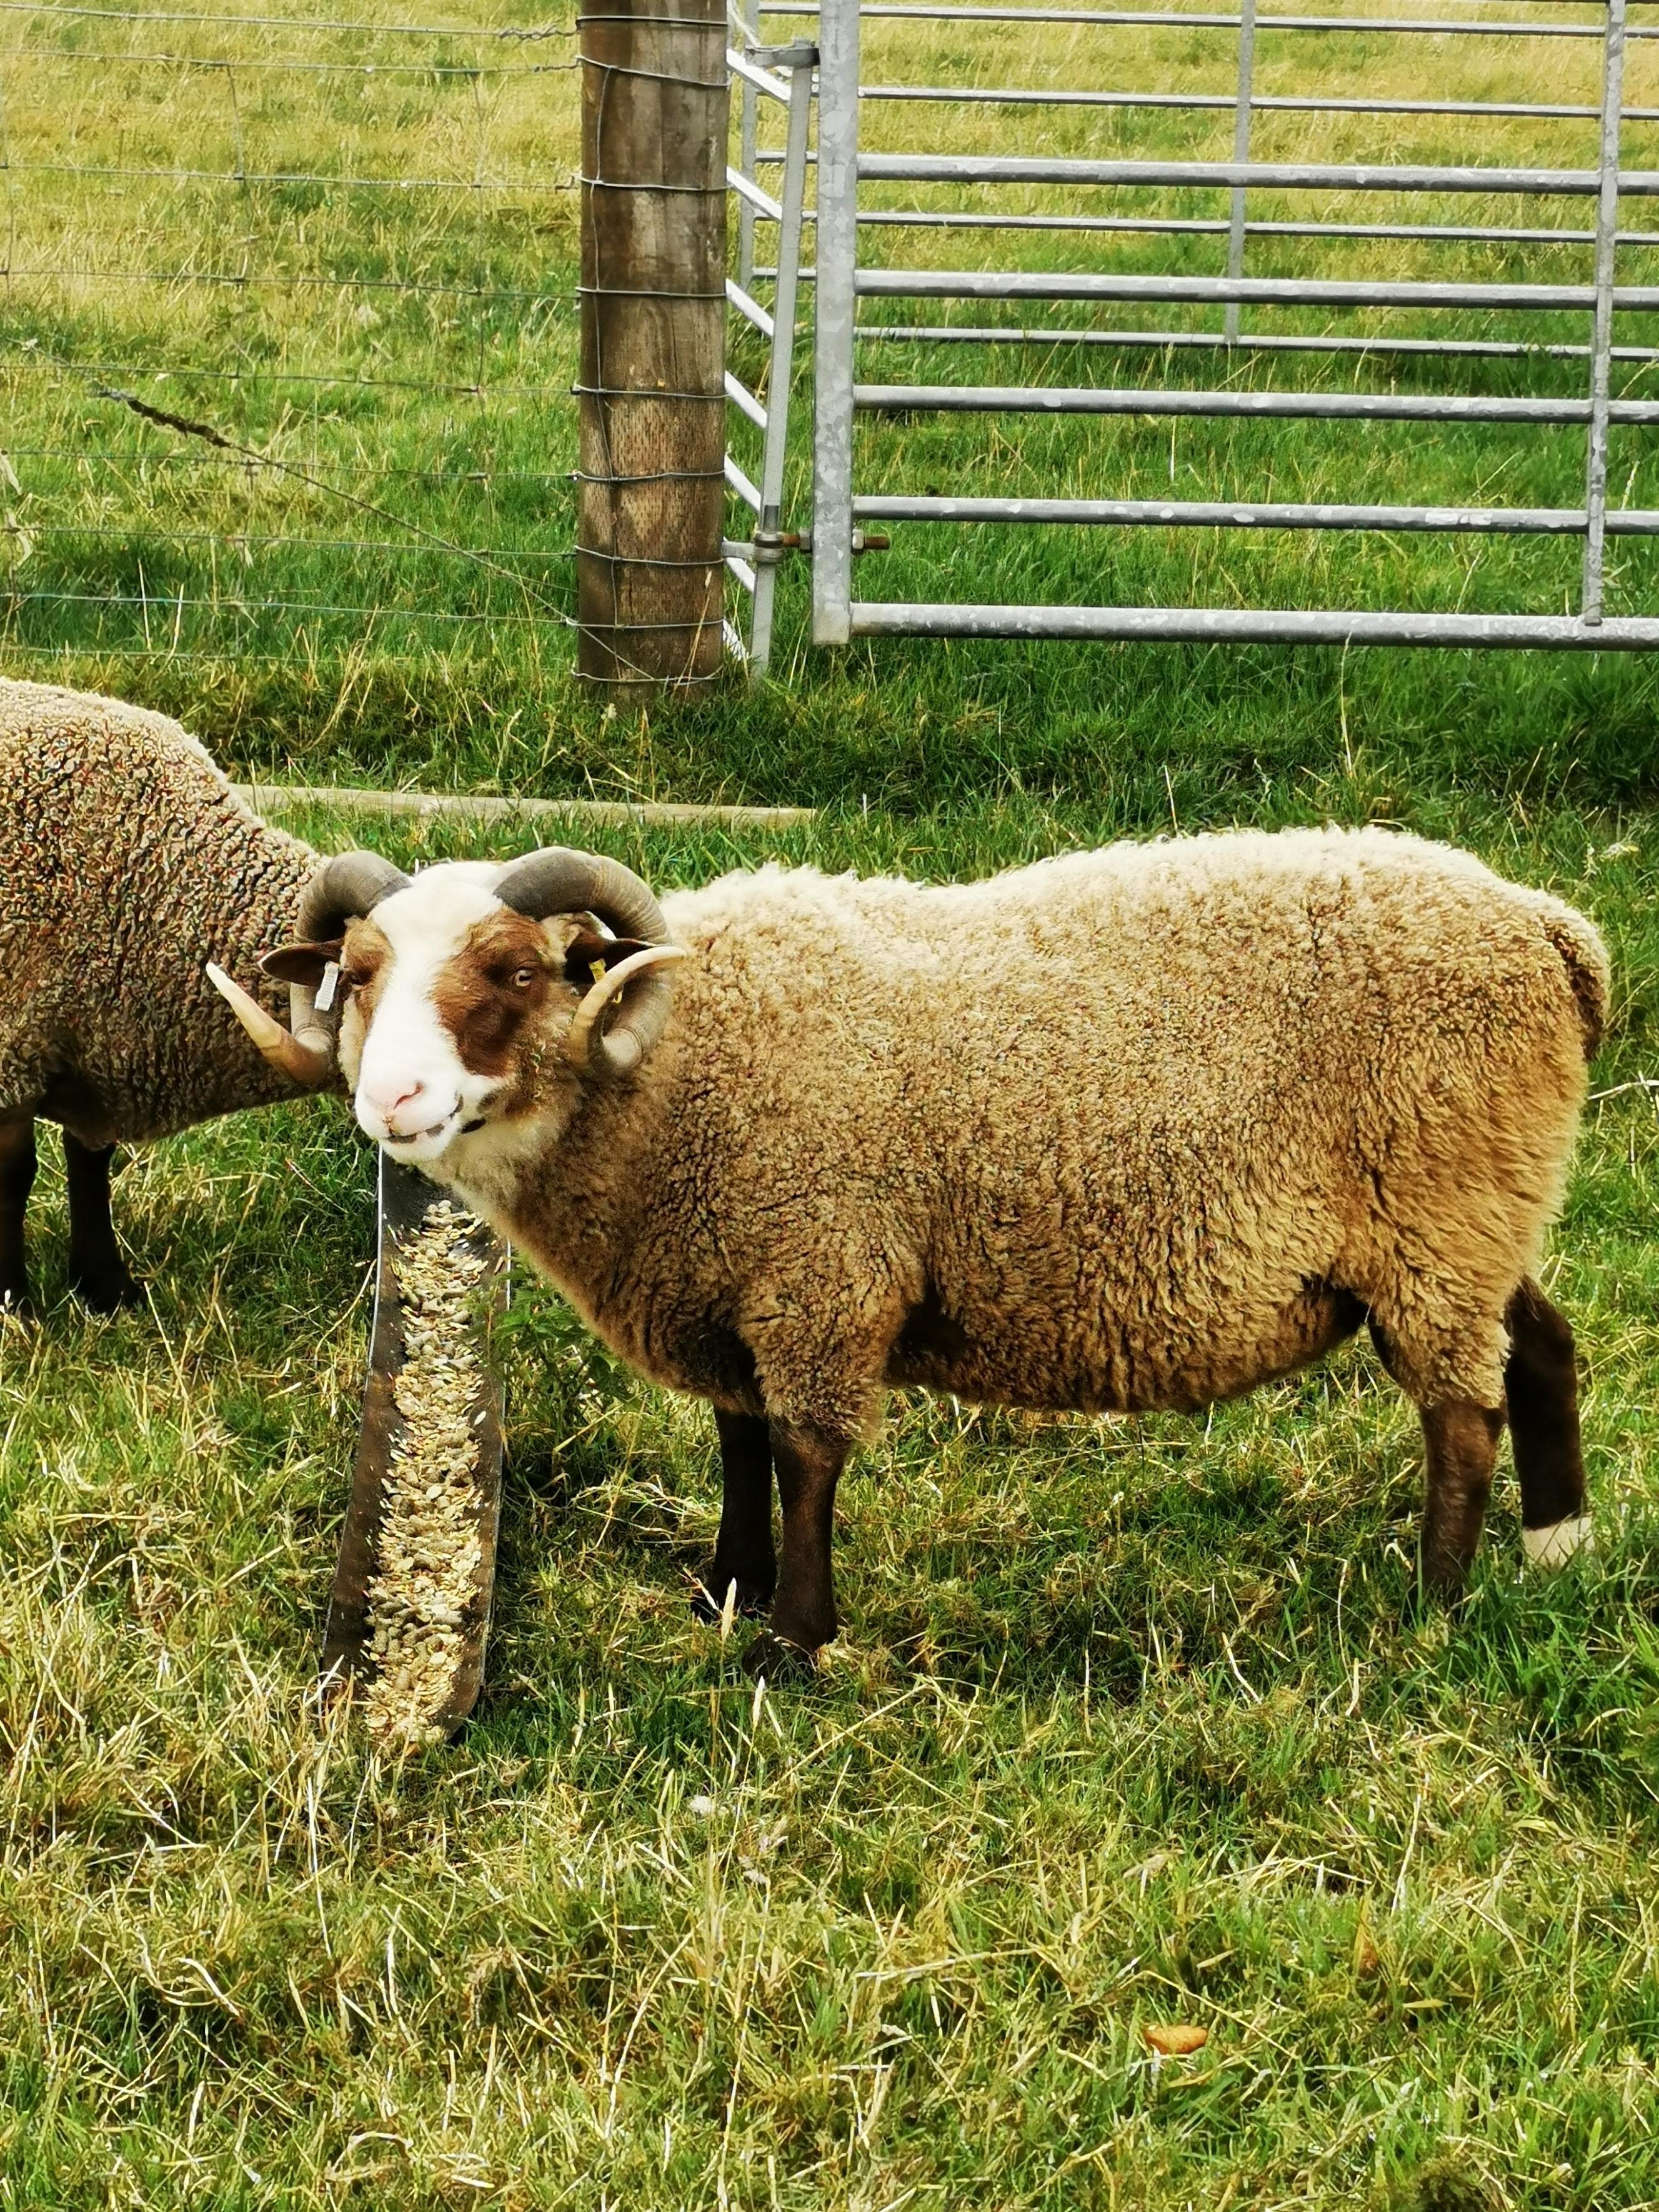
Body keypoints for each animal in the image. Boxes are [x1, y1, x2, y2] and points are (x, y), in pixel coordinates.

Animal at [0, 677, 401, 1314]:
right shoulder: (13, 1048)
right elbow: (15, 1175)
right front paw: (15, 1303)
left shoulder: (98, 1051)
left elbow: (91, 1161)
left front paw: (107, 1289)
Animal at [223, 828, 1609, 1673]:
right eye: (357, 971)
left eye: (513, 970)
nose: (392, 1101)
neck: (676, 1066)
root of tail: (1550, 930)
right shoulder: (733, 1283)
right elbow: (737, 1444)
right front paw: (725, 1593)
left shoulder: (821, 1273)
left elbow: (805, 1453)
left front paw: (795, 1640)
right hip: (1481, 1206)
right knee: (1540, 1345)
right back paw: (1557, 1545)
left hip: (1436, 1211)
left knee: (1460, 1410)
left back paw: (1431, 1606)